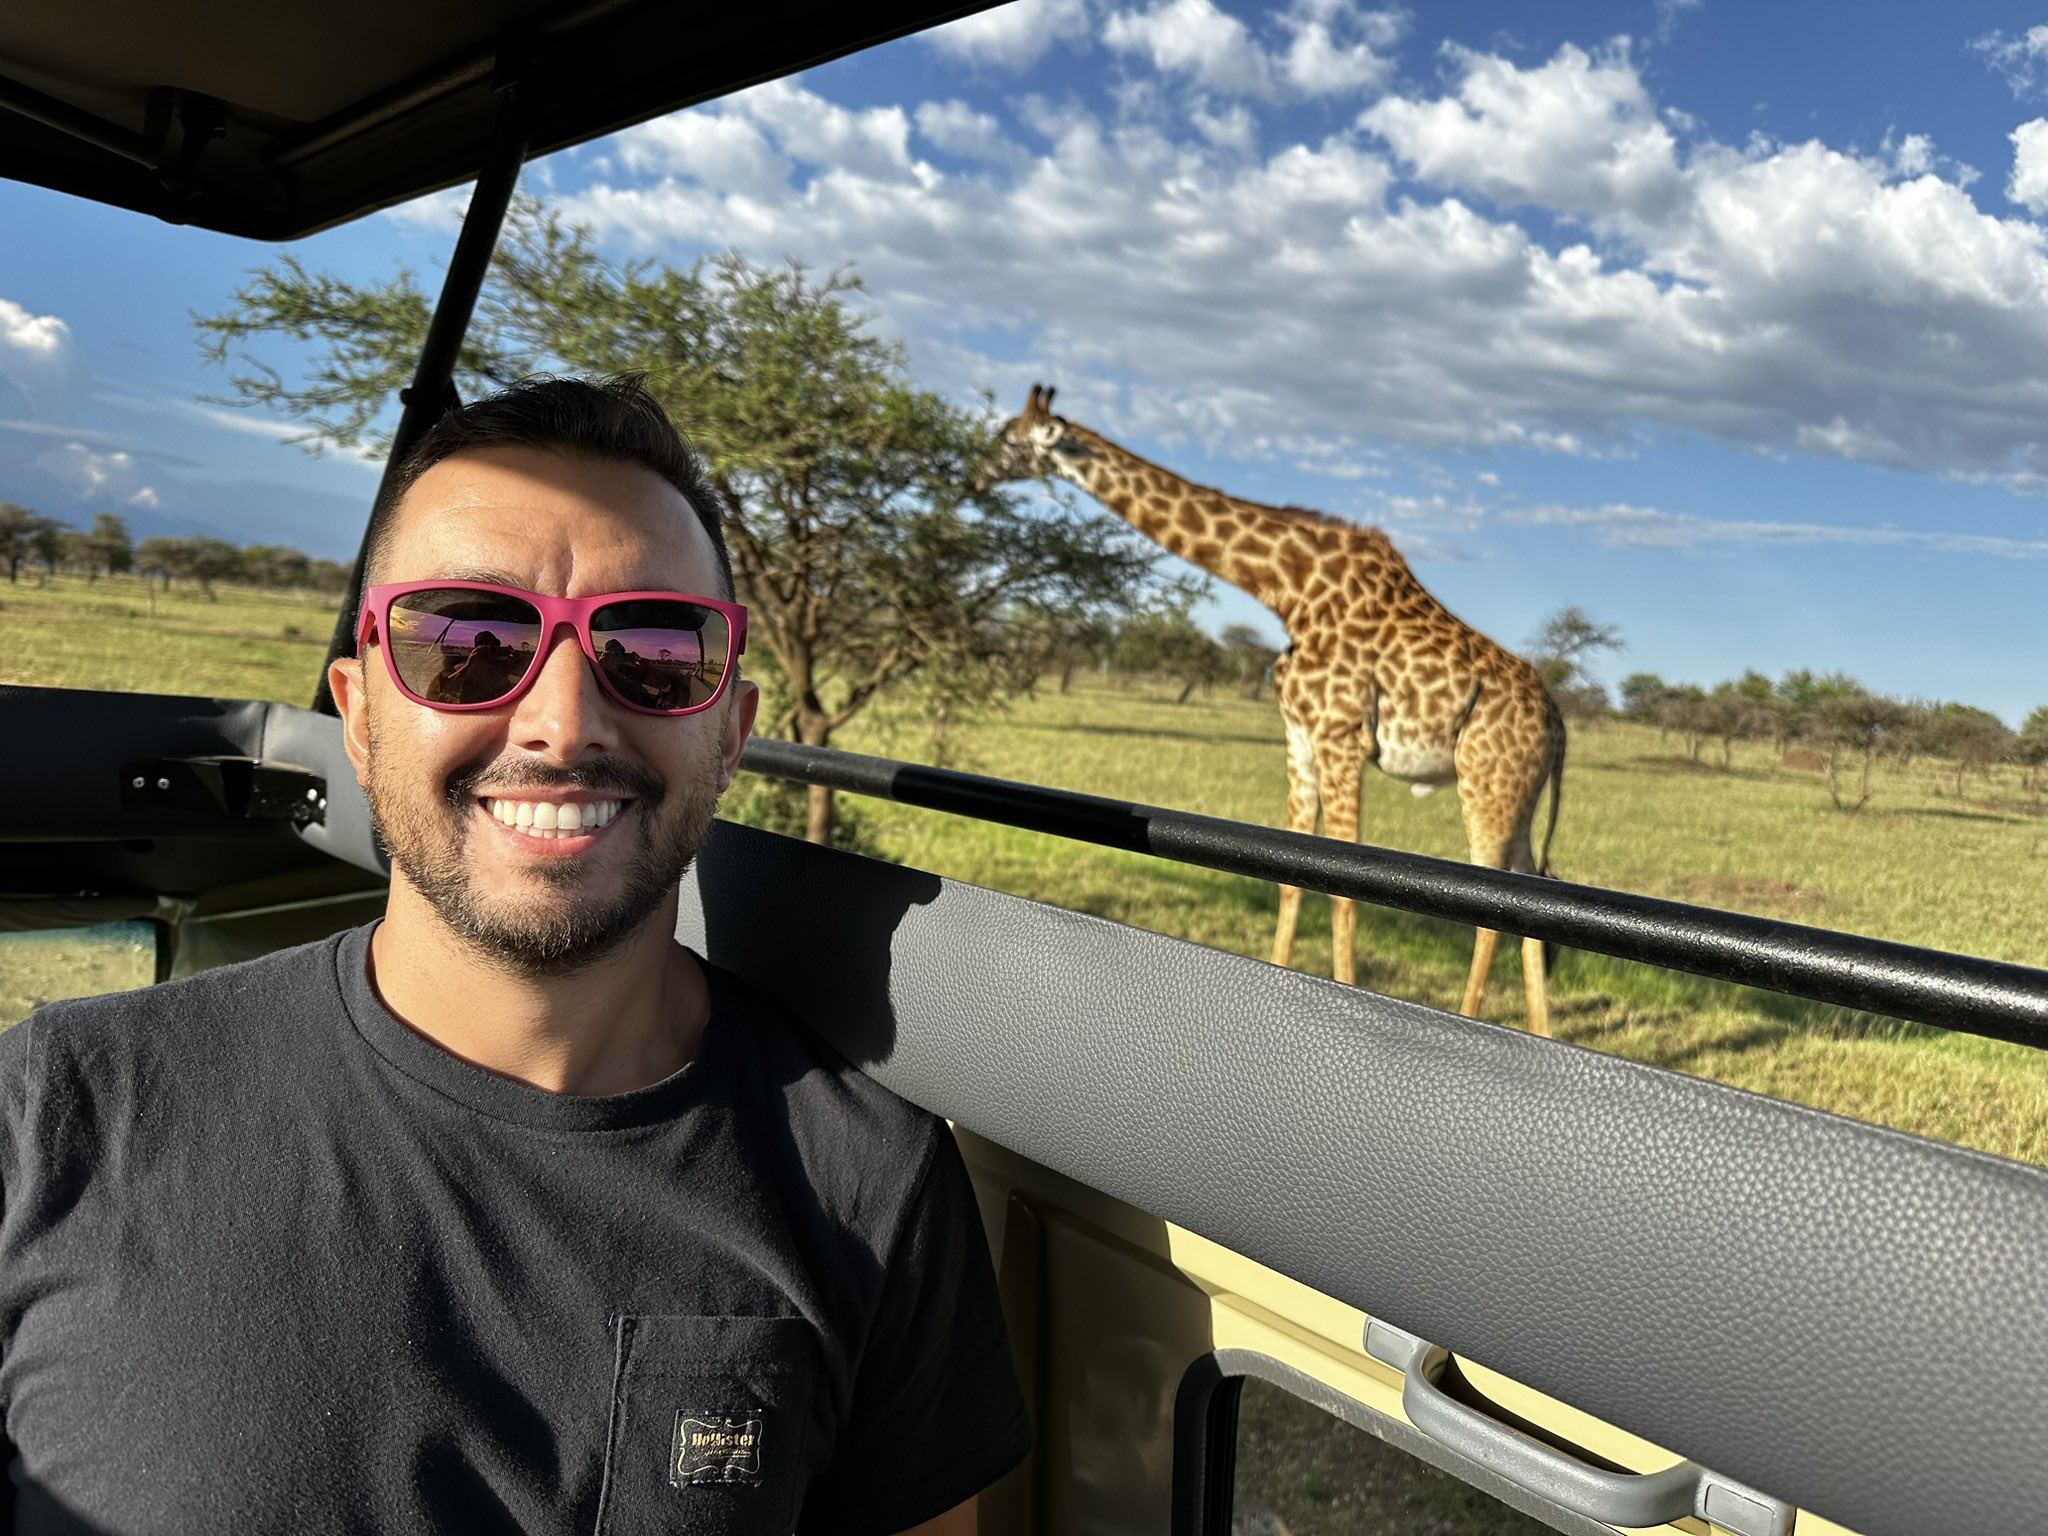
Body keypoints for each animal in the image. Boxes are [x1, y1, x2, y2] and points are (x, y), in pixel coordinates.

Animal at [994, 385, 1566, 1034]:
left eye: (1009, 437)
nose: (979, 467)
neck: (1287, 589)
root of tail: (1558, 725)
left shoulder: (1341, 736)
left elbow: (1345, 890)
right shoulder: (1299, 734)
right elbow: (1291, 879)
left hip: (1486, 784)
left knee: (1494, 912)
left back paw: (1473, 1023)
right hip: (1516, 794)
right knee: (1533, 892)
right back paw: (1542, 1032)